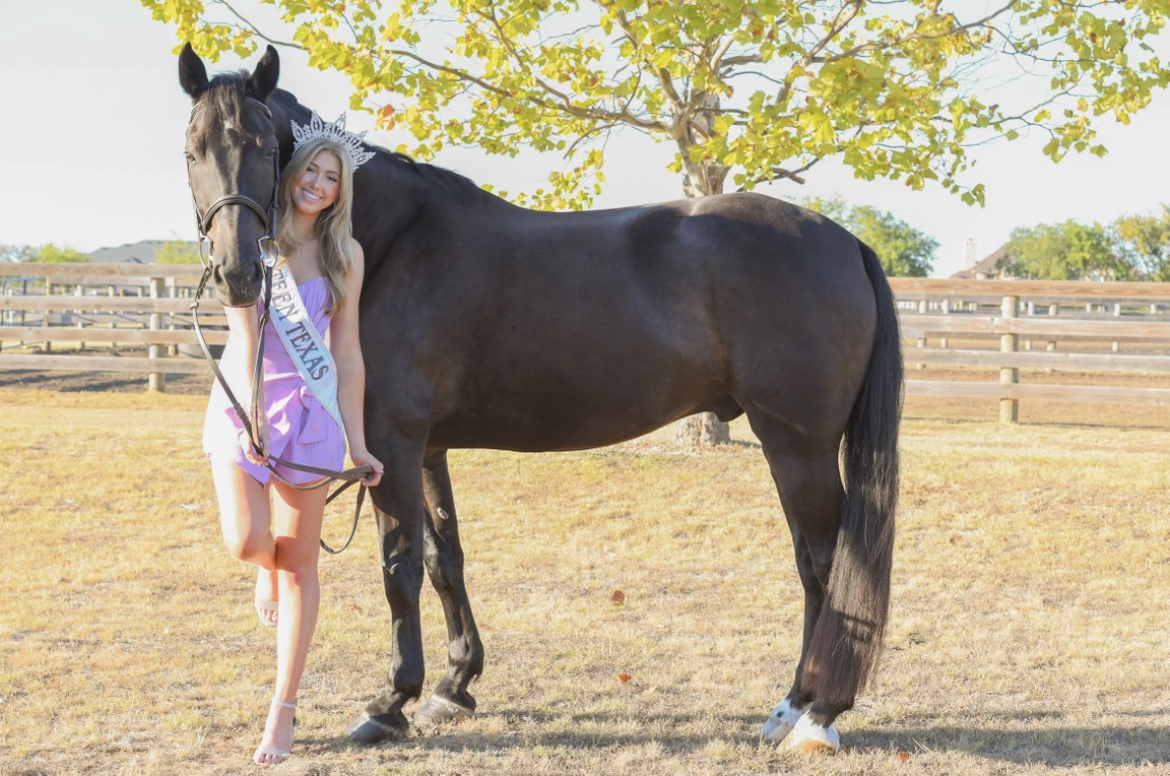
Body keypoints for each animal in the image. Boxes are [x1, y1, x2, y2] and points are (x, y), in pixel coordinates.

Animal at [175, 43, 903, 753]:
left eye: (266, 148)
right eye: (193, 150)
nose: (238, 274)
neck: (388, 245)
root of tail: (847, 241)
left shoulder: (391, 443)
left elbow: (398, 567)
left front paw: (392, 703)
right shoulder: (427, 449)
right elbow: (443, 560)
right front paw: (454, 685)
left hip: (798, 446)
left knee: (825, 563)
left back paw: (813, 711)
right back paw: (795, 708)